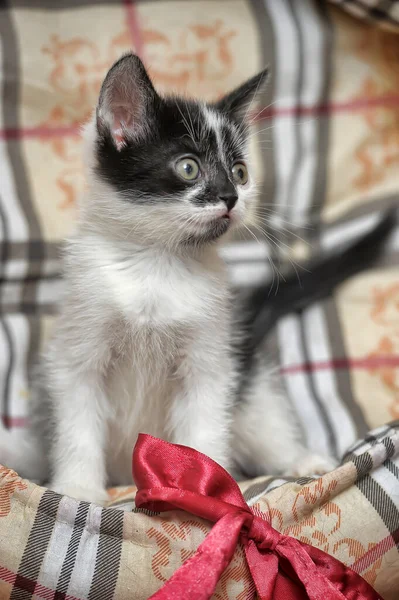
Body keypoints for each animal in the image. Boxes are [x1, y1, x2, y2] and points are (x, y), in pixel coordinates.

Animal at [0, 54, 356, 502]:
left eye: (240, 172)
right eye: (189, 167)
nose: (231, 196)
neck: (157, 263)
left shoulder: (209, 363)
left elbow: (204, 429)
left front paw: (209, 491)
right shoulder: (77, 353)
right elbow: (77, 426)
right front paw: (78, 489)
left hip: (251, 389)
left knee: (268, 428)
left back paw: (304, 461)